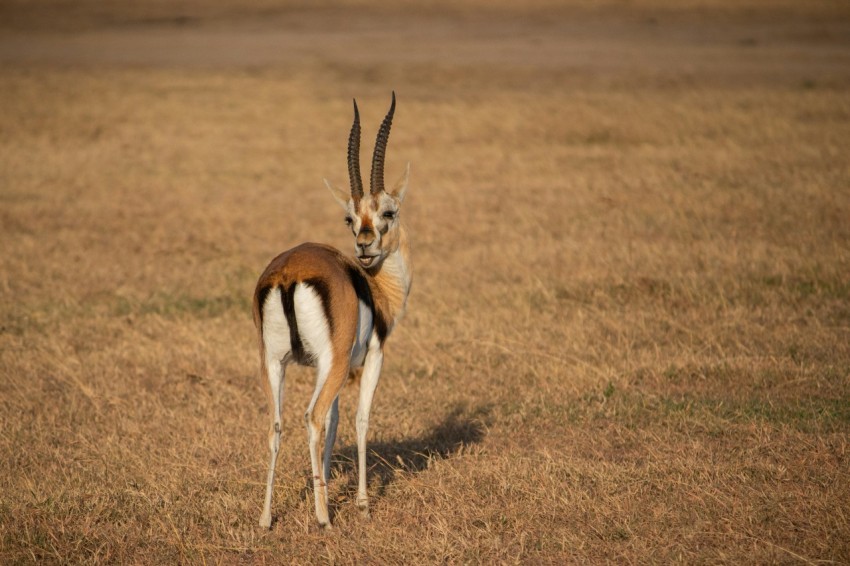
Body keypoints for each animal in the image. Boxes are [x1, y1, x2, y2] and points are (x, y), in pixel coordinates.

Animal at [253, 93, 412, 529]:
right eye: (350, 217)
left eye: (386, 212)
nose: (365, 245)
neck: (374, 289)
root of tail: (288, 273)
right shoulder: (369, 359)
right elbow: (359, 420)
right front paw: (361, 504)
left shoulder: (329, 370)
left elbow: (336, 423)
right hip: (330, 362)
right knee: (311, 417)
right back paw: (324, 518)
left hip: (273, 362)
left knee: (276, 425)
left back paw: (266, 519)